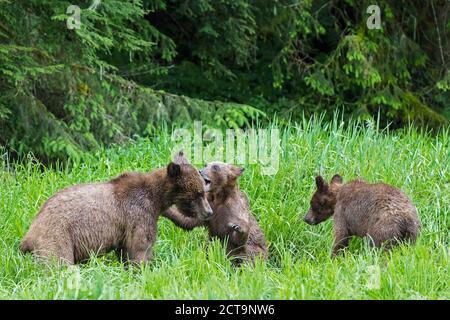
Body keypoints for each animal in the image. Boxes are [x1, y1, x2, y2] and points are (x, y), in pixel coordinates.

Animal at [19, 152, 213, 264]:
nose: (209, 212)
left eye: (203, 191)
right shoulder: (138, 214)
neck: (157, 198)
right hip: (57, 236)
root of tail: (29, 233)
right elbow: (140, 248)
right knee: (59, 263)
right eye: (199, 193)